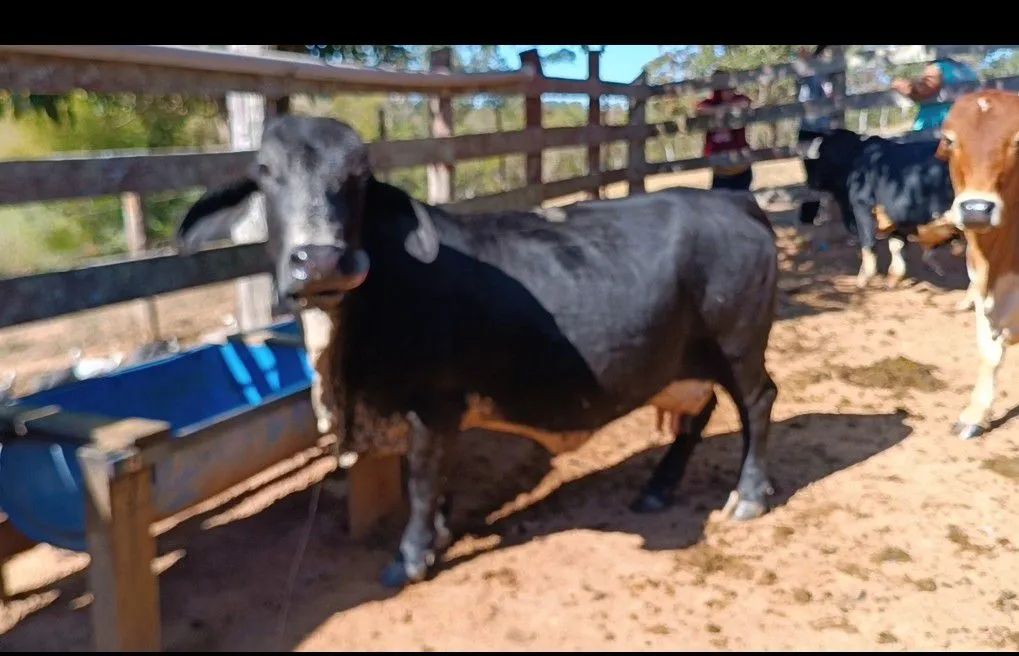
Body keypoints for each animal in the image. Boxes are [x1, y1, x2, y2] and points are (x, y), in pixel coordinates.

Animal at [175, 115, 780, 588]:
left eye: (359, 177)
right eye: (264, 172)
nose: (320, 261)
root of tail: (734, 202)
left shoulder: (432, 407)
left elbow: (422, 484)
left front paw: (410, 557)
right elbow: (437, 480)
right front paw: (440, 536)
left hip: (739, 348)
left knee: (758, 403)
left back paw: (750, 494)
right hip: (685, 364)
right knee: (697, 413)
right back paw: (658, 488)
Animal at [798, 127, 963, 289]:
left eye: (820, 160)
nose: (810, 182)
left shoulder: (862, 209)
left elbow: (868, 245)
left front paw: (863, 278)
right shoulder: (898, 219)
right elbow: (896, 246)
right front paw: (893, 278)